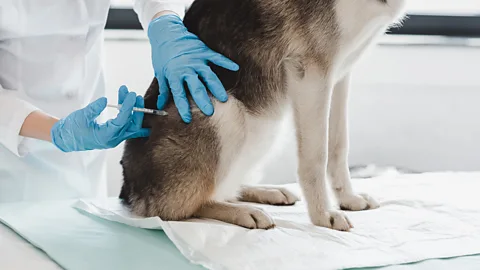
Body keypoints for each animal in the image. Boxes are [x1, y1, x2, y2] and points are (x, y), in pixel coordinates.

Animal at [120, 0, 404, 232]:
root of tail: (129, 189)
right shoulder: (312, 73)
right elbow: (316, 157)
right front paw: (323, 215)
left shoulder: (340, 75)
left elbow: (338, 145)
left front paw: (348, 199)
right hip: (226, 113)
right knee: (178, 208)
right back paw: (243, 212)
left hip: (266, 124)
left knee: (225, 187)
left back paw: (265, 192)